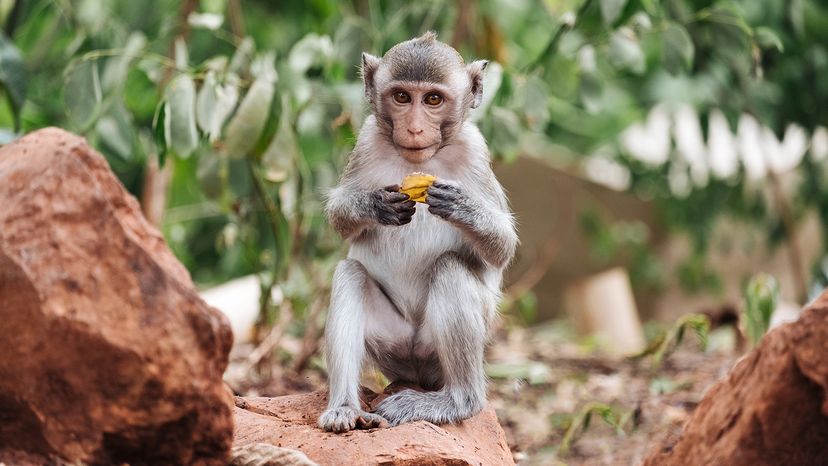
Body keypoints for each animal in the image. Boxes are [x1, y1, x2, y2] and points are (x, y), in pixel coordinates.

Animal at [318, 32, 518, 433]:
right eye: (401, 97)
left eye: (433, 100)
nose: (413, 128)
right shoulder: (366, 139)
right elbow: (339, 219)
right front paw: (375, 206)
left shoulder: (476, 149)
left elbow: (502, 248)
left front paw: (460, 206)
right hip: (391, 344)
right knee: (350, 274)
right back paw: (345, 407)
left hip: (437, 347)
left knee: (451, 268)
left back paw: (457, 401)